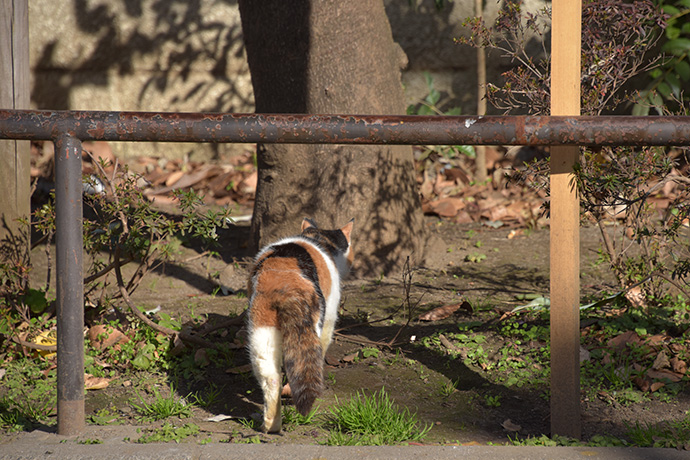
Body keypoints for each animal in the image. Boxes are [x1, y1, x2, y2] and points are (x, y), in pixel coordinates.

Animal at [246, 217, 352, 434]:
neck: (317, 238)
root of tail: (284, 284)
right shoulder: (330, 313)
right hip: (313, 323)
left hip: (261, 331)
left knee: (271, 378)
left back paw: (270, 426)